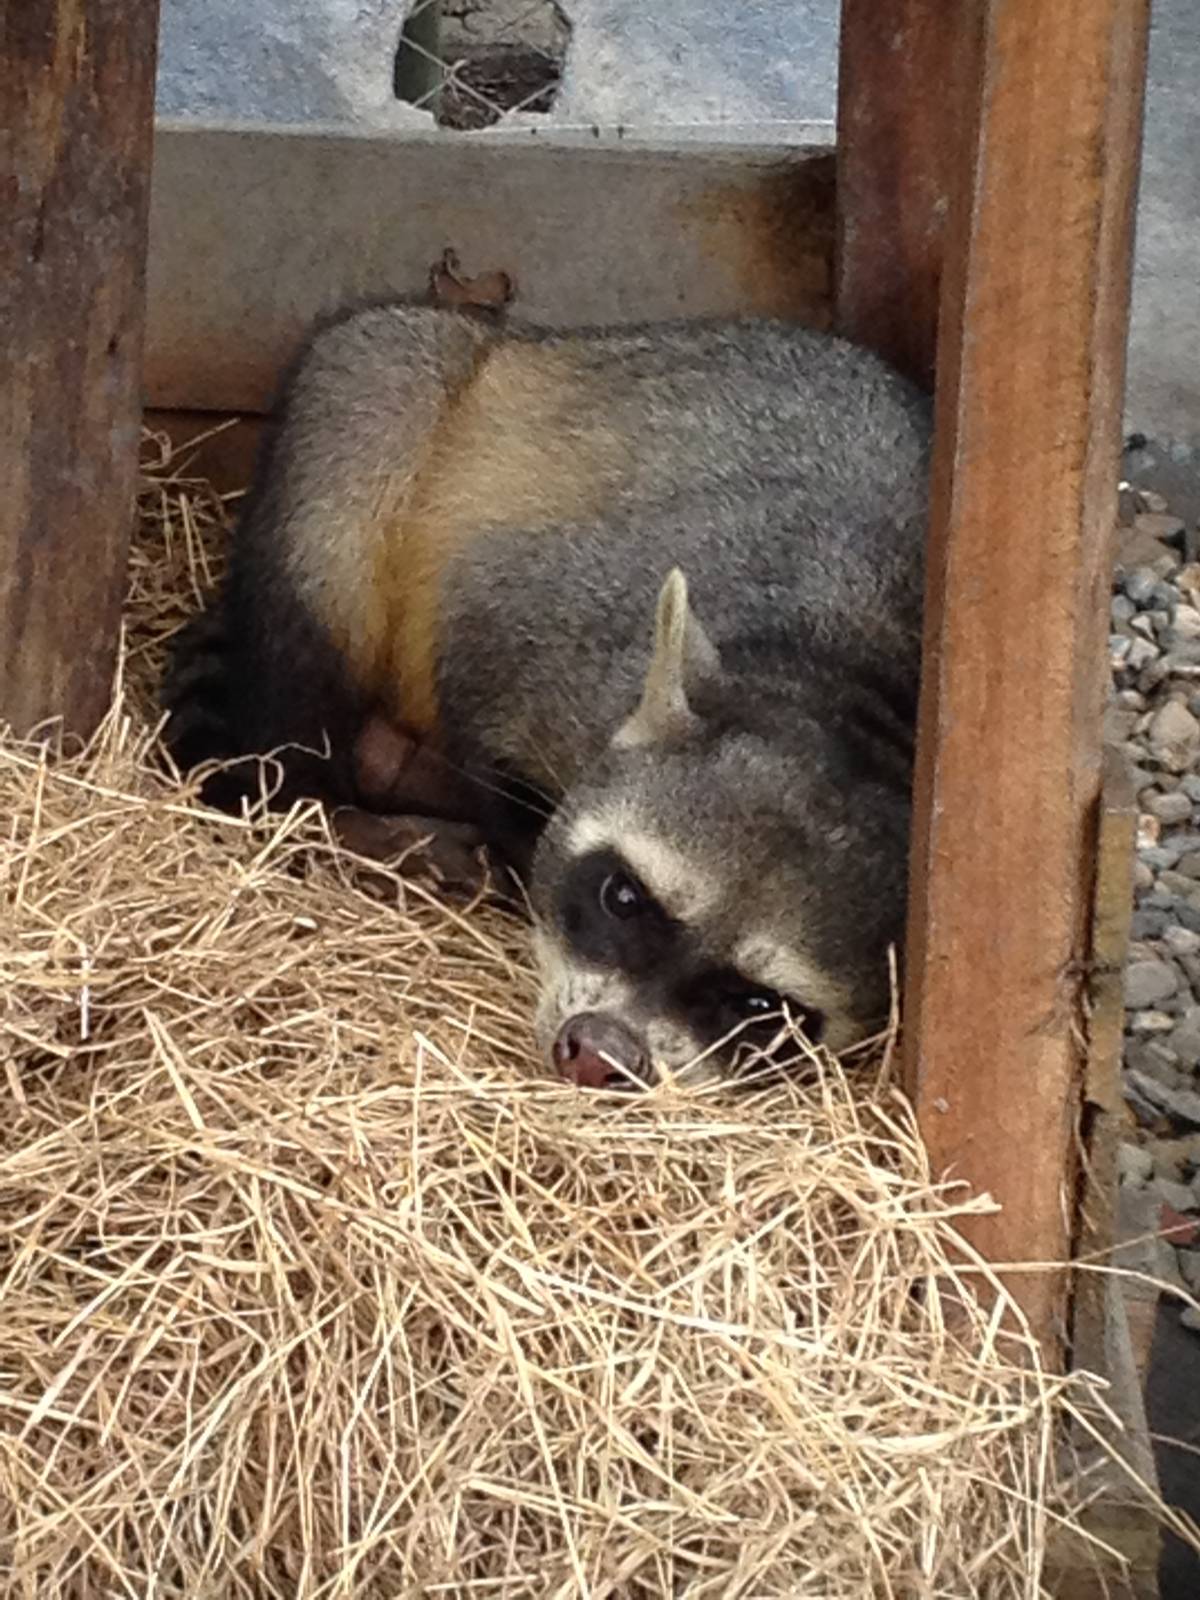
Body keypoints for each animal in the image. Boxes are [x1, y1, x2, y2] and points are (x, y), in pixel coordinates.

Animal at [164, 301, 932, 1087]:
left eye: (761, 1007)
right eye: (623, 897)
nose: (599, 1050)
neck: (833, 687)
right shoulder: (552, 629)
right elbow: (477, 675)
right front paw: (508, 835)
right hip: (377, 406)